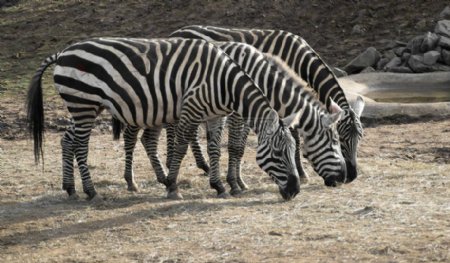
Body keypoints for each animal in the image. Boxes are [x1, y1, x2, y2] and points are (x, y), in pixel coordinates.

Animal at [26, 37, 300, 200]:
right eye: (278, 153)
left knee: (67, 140)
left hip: (85, 107)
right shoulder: (192, 109)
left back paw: (70, 188)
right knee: (81, 146)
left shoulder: (214, 115)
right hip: (83, 104)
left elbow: (214, 149)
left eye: (293, 150)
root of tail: (62, 52)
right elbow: (179, 147)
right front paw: (172, 186)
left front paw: (219, 186)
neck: (224, 83)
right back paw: (91, 191)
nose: (295, 191)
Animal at [118, 41, 346, 196]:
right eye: (335, 142)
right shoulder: (237, 113)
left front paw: (238, 182)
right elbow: (235, 147)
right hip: (142, 108)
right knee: (131, 136)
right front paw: (233, 184)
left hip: (159, 111)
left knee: (148, 139)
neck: (260, 77)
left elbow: (240, 147)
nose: (346, 178)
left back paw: (164, 177)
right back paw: (131, 181)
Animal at [170, 24, 366, 186]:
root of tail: (176, 32)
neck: (299, 59)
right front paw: (301, 172)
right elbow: (294, 137)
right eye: (342, 139)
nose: (352, 176)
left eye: (359, 138)